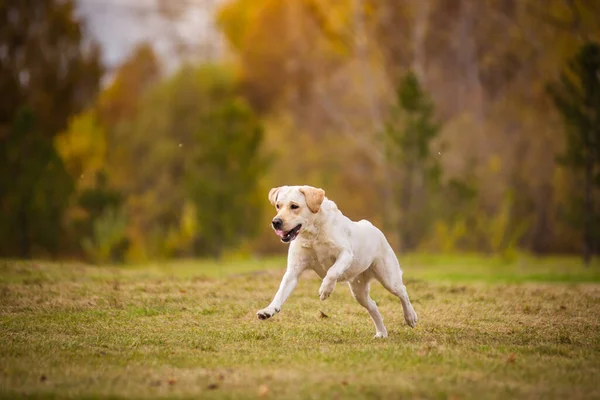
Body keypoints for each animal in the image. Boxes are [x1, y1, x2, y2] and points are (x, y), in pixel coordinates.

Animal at [256, 185, 418, 338]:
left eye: (294, 206)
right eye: (278, 205)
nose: (276, 222)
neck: (313, 235)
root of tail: (373, 227)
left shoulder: (345, 254)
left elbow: (332, 271)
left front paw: (325, 290)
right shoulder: (293, 271)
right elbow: (280, 293)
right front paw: (268, 311)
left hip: (388, 278)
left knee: (403, 292)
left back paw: (410, 317)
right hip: (359, 291)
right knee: (373, 306)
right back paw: (381, 333)